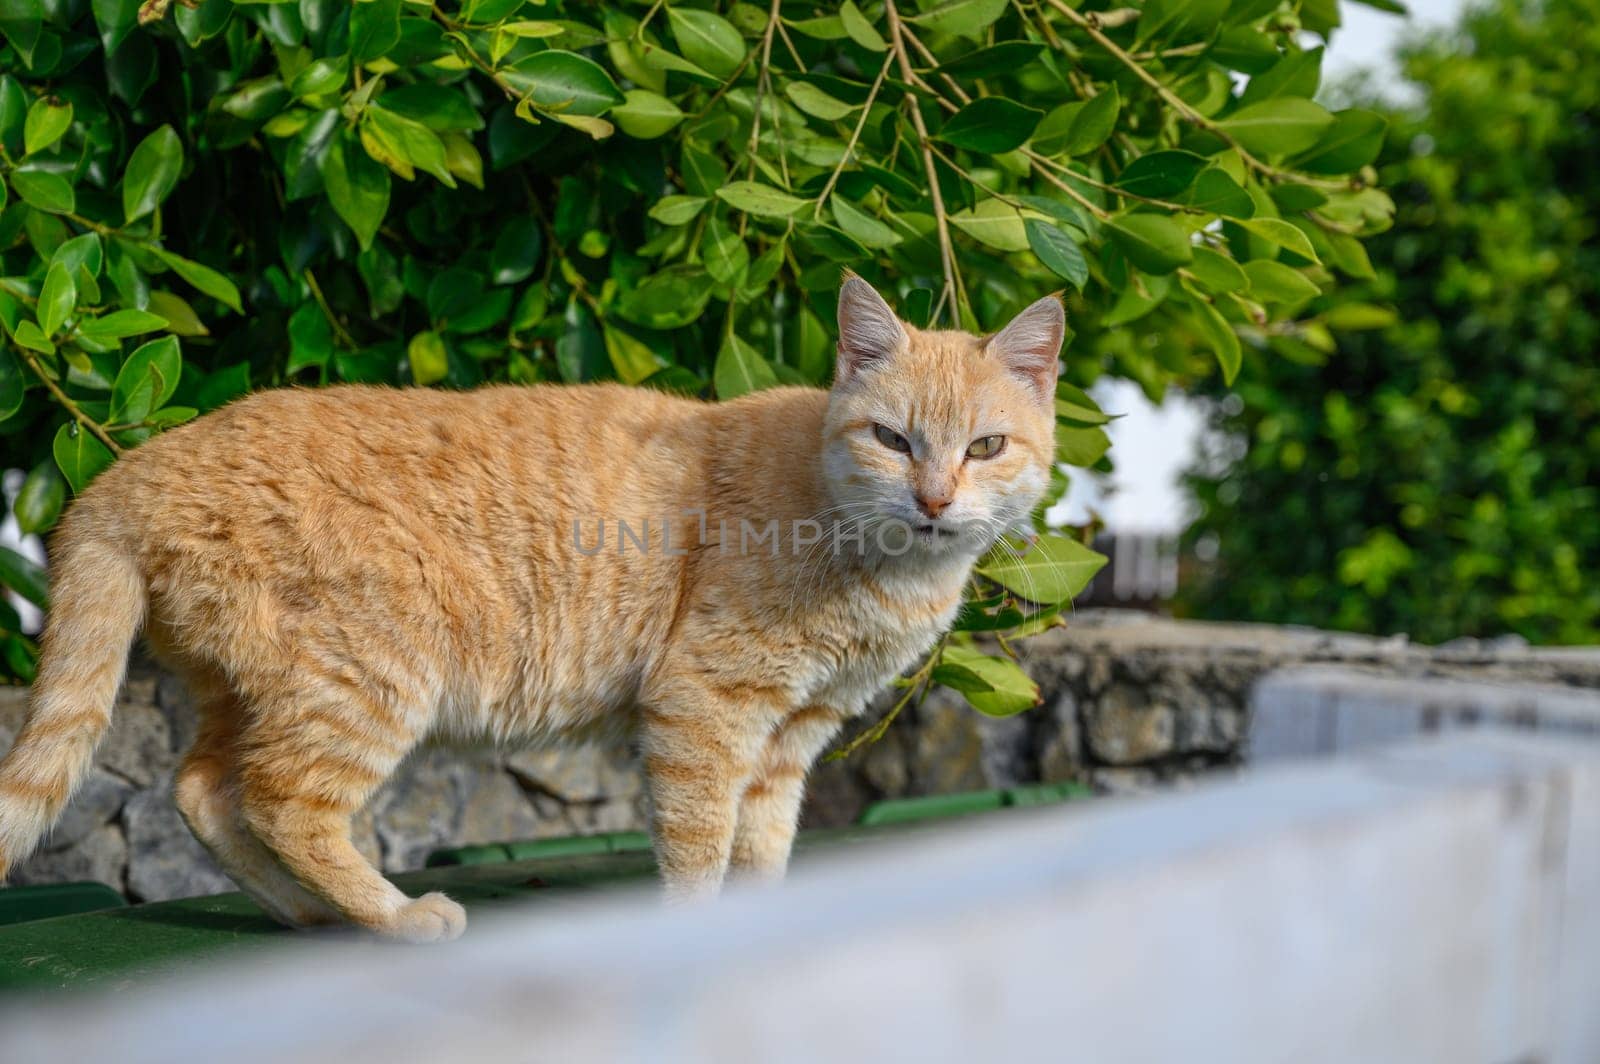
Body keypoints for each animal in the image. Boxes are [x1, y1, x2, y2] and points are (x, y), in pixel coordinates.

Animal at [0, 278, 1062, 940]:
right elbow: (701, 843)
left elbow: (763, 845)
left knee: (203, 792)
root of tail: (132, 472)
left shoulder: (790, 736)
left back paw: (314, 917)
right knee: (282, 802)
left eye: (985, 447)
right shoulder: (705, 710)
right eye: (892, 439)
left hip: (254, 685)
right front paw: (699, 931)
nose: (934, 500)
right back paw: (396, 918)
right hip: (367, 679)